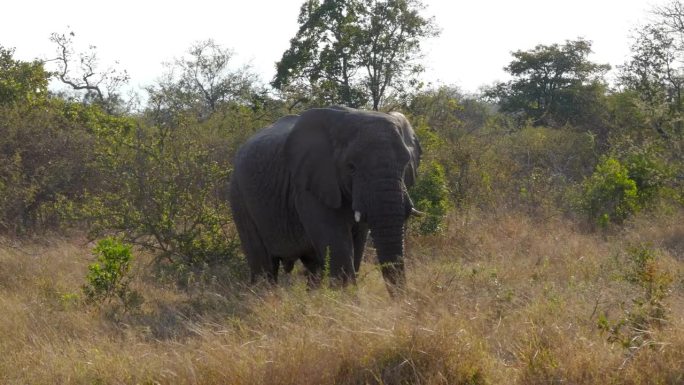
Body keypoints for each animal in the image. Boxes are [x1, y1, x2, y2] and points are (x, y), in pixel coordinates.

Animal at [231, 105, 422, 292]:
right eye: (351, 167)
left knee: (312, 265)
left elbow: (358, 241)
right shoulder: (308, 186)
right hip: (239, 196)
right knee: (264, 265)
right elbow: (338, 244)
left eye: (405, 163)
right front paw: (346, 299)